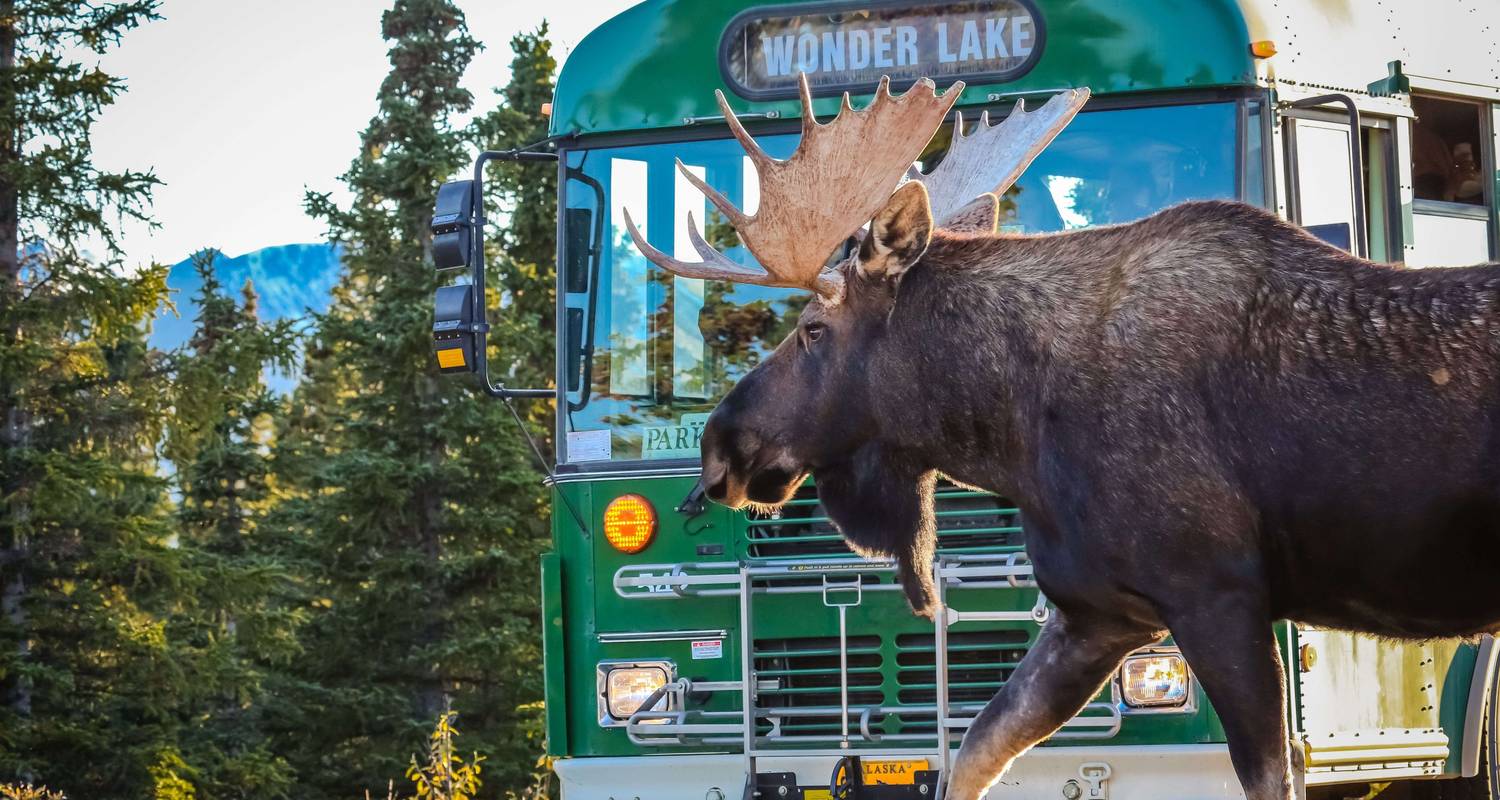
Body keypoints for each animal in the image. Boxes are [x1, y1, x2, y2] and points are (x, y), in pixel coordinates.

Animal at [624, 71, 1500, 792]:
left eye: (811, 329)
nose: (718, 447)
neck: (1011, 431)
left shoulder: (1216, 593)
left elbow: (1269, 773)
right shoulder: (1096, 612)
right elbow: (974, 753)